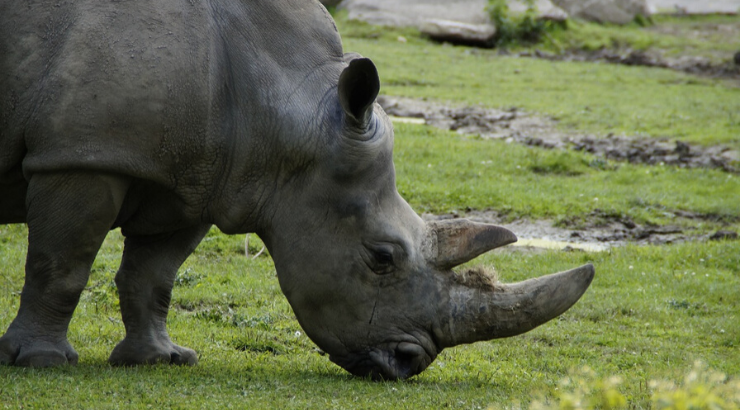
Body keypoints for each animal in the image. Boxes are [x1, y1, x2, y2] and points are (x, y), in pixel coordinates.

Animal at [0, 0, 594, 380]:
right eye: (381, 259)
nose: (408, 363)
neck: (289, 105)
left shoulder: (197, 178)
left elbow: (154, 275)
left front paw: (160, 360)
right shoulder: (82, 154)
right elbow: (62, 265)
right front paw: (41, 363)